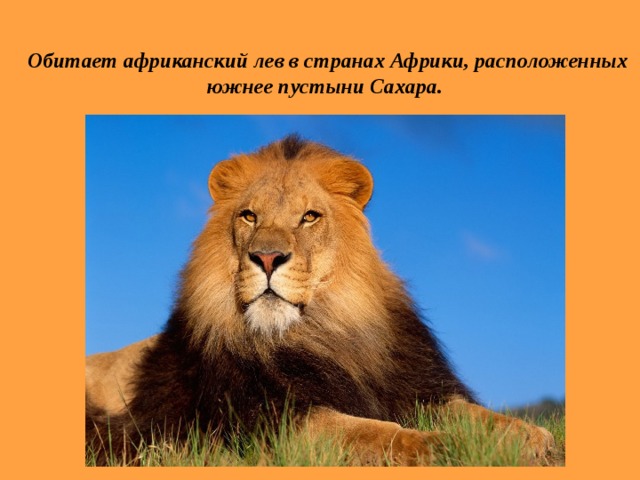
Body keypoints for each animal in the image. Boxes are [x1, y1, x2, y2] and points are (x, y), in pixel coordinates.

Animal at [86, 135, 554, 466]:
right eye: (249, 216)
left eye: (309, 217)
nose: (267, 257)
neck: (324, 333)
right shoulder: (272, 422)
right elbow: (378, 433)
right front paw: (443, 448)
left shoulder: (415, 389)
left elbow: (472, 413)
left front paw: (528, 437)